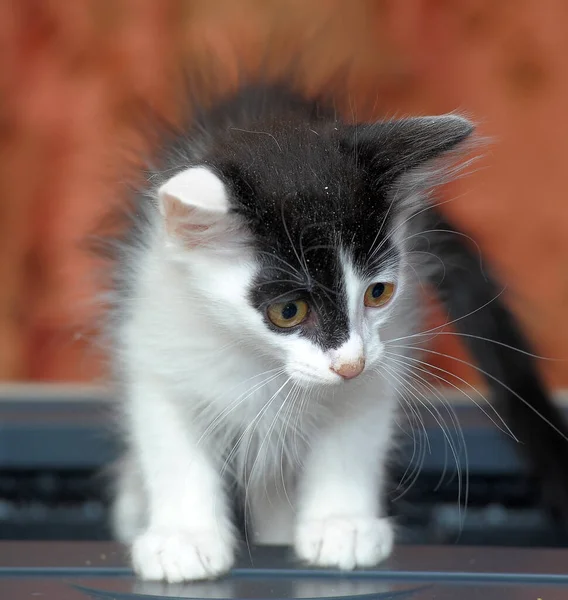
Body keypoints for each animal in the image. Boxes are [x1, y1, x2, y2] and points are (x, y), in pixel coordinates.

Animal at [105, 82, 568, 580]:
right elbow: (172, 445)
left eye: (379, 293)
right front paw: (184, 537)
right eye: (288, 311)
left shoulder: (381, 365)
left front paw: (342, 525)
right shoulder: (158, 344)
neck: (264, 364)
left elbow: (353, 437)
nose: (350, 364)